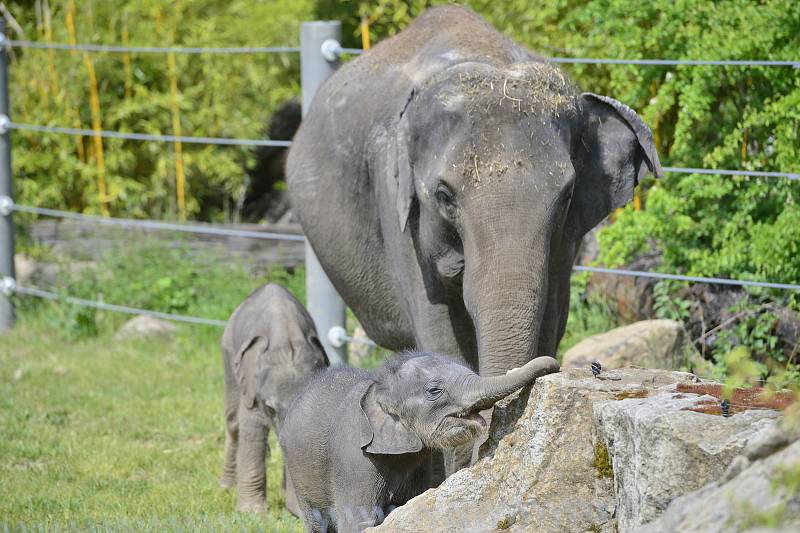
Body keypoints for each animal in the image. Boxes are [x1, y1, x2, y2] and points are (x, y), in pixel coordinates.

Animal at [219, 282, 328, 512]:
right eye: (270, 408)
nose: (297, 513)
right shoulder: (253, 386)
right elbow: (251, 431)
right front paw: (251, 513)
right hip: (228, 353)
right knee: (233, 423)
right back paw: (226, 486)